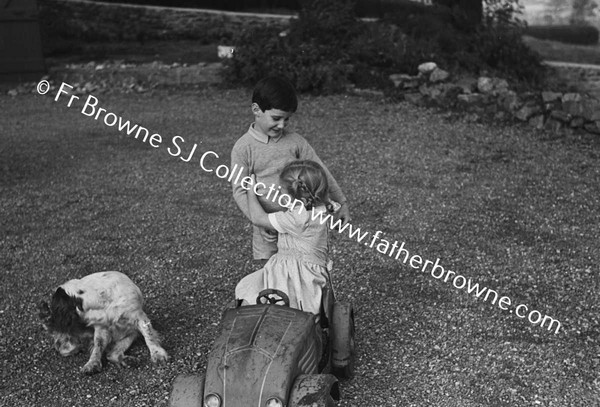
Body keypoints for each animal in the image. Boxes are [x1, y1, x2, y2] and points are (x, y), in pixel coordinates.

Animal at [37, 272, 169, 374]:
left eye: (55, 307)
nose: (53, 321)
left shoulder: (138, 317)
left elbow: (149, 335)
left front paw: (157, 354)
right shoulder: (102, 329)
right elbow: (98, 347)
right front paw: (92, 364)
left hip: (131, 335)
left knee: (113, 354)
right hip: (69, 346)